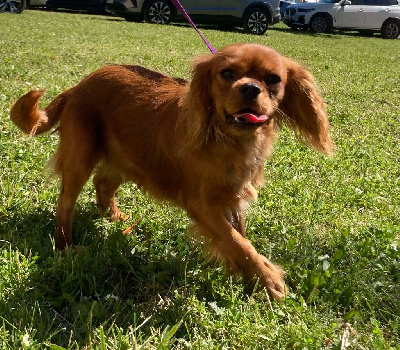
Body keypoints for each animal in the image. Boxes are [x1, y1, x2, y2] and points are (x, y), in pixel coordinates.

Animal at [10, 43, 332, 300]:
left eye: (273, 80)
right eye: (227, 74)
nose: (251, 88)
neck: (229, 140)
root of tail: (80, 85)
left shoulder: (234, 197)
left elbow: (240, 237)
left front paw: (249, 277)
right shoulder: (202, 204)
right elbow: (237, 242)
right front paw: (268, 278)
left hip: (129, 156)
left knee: (103, 183)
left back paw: (114, 218)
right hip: (81, 155)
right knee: (66, 201)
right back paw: (66, 246)